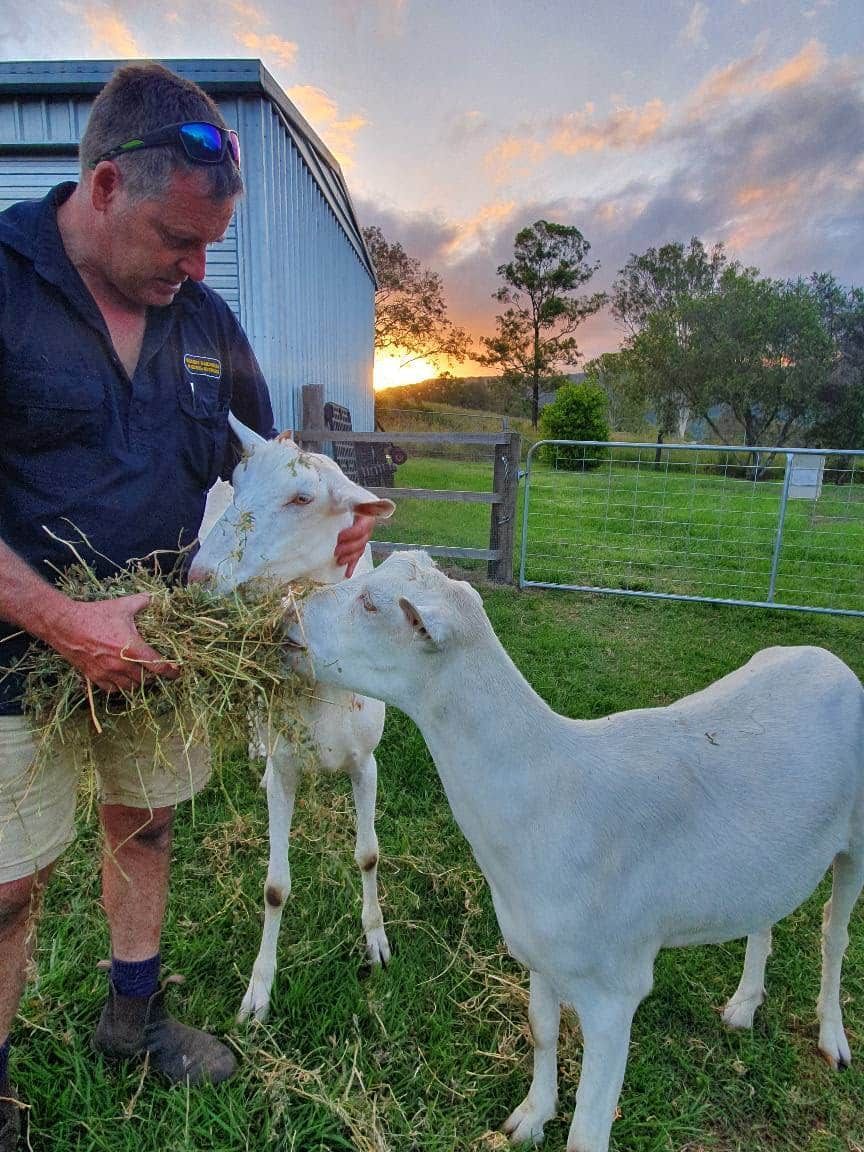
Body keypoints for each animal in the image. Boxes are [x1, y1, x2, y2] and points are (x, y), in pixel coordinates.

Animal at [190, 414, 395, 1022]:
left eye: (303, 498)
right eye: (240, 478)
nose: (198, 576)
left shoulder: (366, 760)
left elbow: (369, 854)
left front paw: (376, 941)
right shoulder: (287, 767)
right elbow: (275, 887)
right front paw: (258, 990)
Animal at [285, 550, 864, 1152]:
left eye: (371, 605)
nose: (284, 620)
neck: (554, 791)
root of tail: (827, 658)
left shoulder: (616, 989)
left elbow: (588, 1128)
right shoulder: (539, 950)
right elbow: (541, 1032)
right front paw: (530, 1117)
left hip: (856, 837)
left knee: (834, 932)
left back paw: (833, 1039)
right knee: (765, 918)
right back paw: (744, 1005)